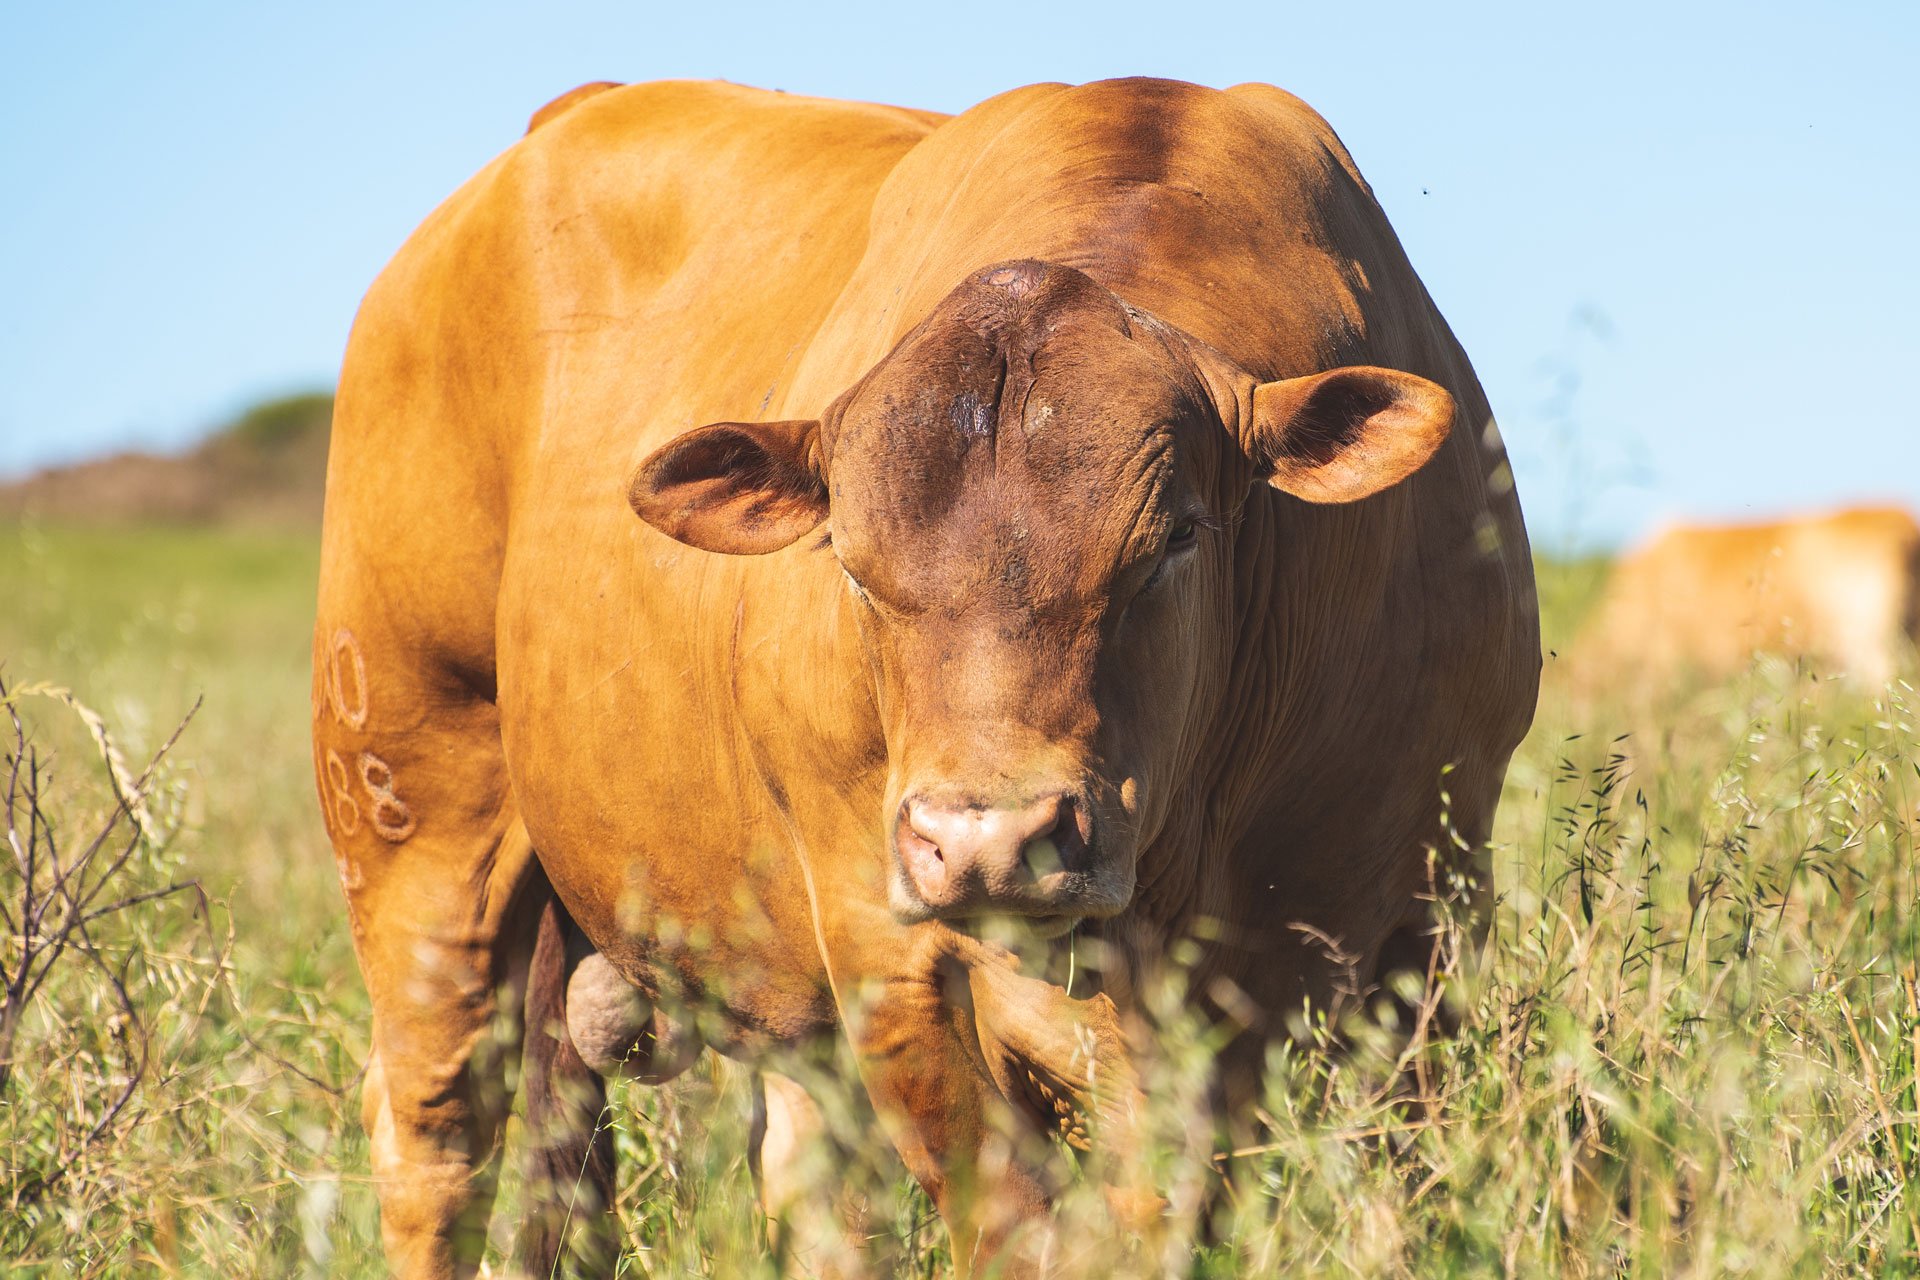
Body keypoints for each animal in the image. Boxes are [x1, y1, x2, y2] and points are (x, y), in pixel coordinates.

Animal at [314, 75, 1543, 1274]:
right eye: (851, 564)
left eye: (1175, 539)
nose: (990, 838)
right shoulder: (888, 948)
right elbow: (1012, 1219)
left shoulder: (1422, 916)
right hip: (415, 820)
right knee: (436, 1140)